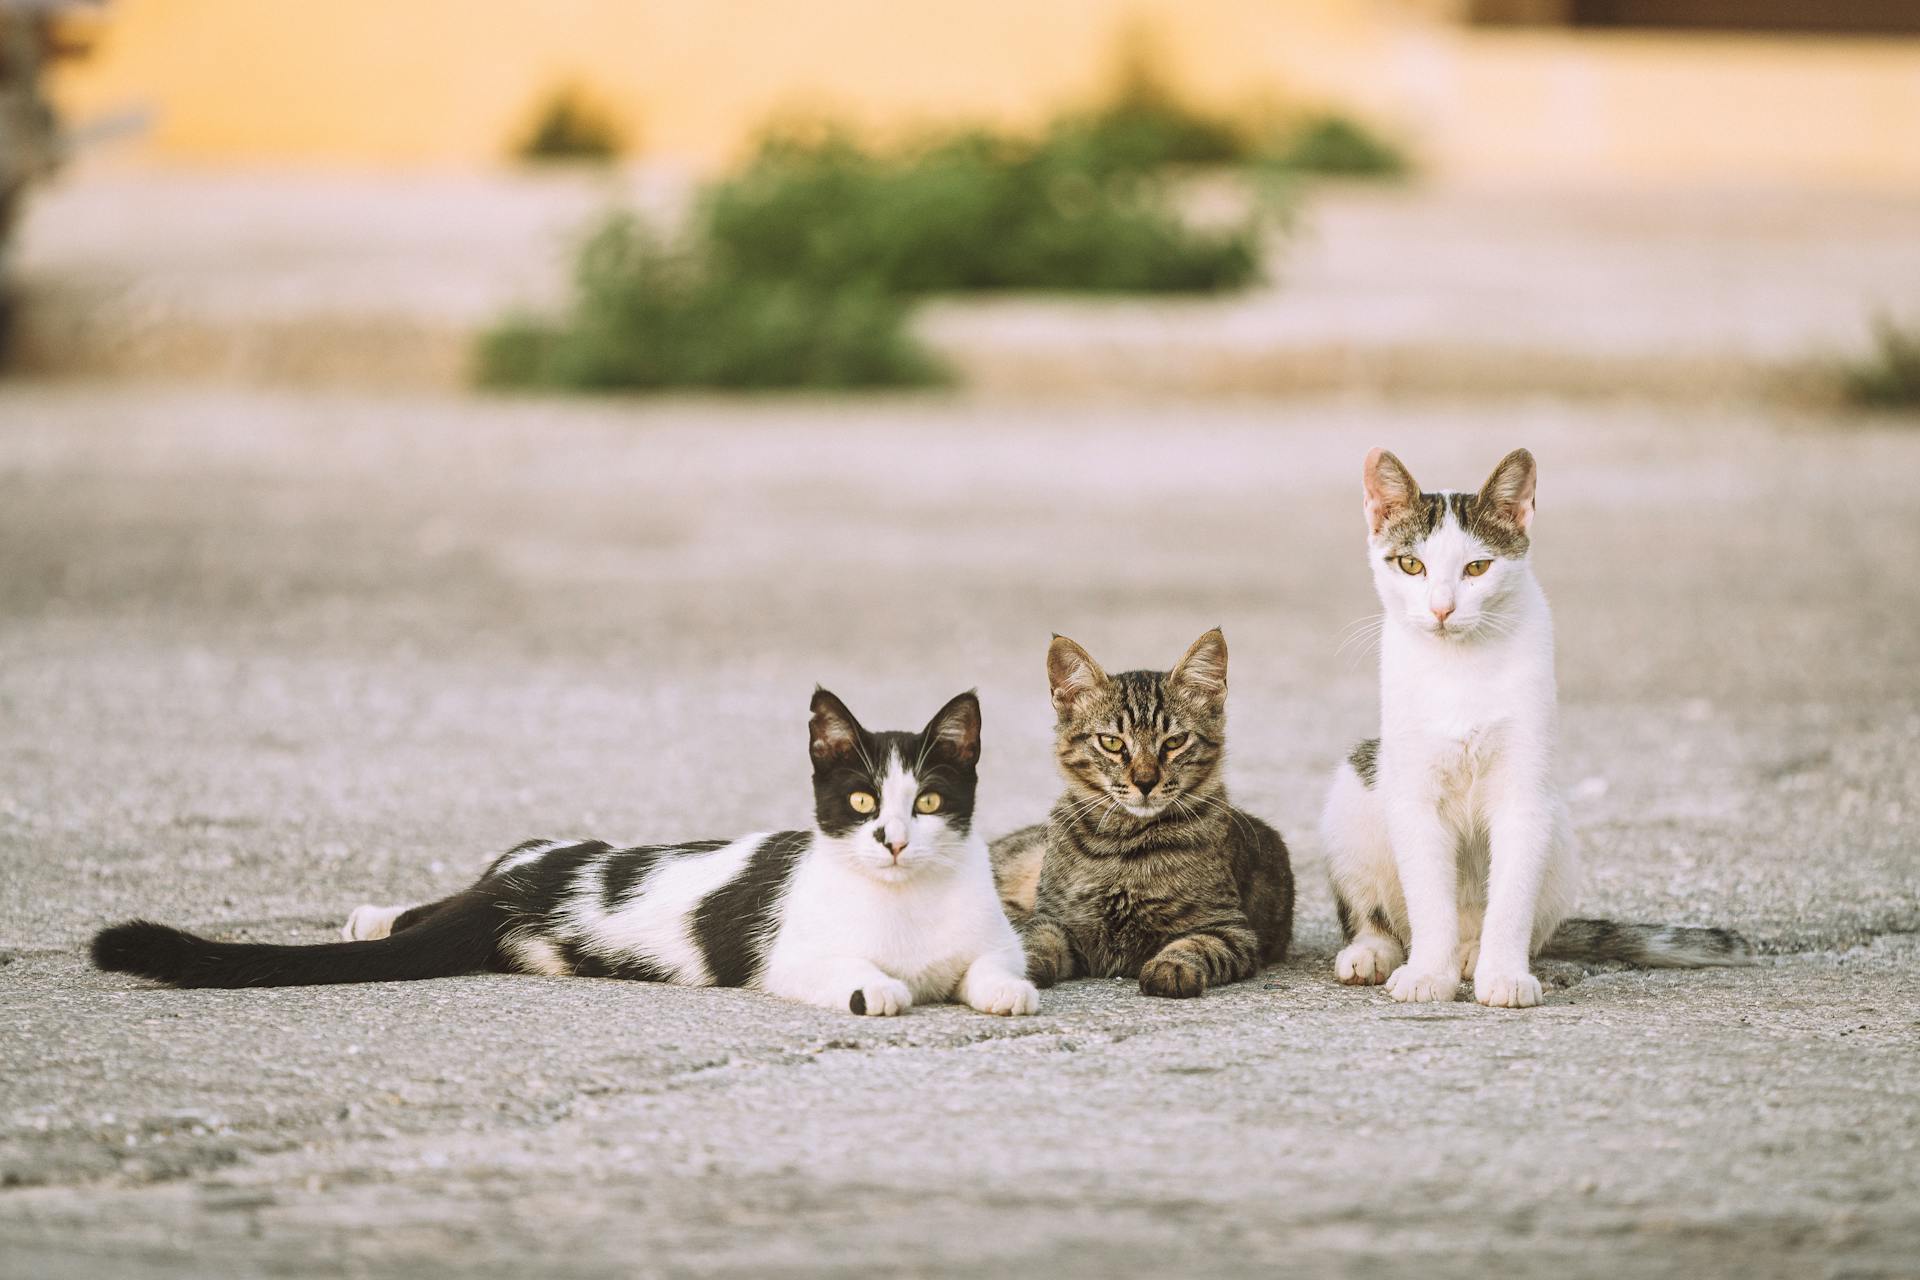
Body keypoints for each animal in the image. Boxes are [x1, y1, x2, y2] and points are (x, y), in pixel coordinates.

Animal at [95, 690, 1044, 1020]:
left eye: (928, 802)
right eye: (861, 803)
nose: (892, 840)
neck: (906, 904)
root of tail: (521, 883)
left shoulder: (992, 935)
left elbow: (998, 966)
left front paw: (1004, 994)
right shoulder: (792, 954)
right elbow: (861, 976)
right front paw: (880, 989)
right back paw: (370, 916)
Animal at [1328, 450, 1751, 1013]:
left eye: (1477, 567)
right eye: (1411, 565)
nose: (1442, 608)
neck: (1461, 667)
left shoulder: (1526, 793)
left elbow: (1511, 897)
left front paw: (1504, 974)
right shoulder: (1415, 793)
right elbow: (1428, 898)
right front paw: (1428, 973)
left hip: (1560, 830)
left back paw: (1473, 953)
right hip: (1358, 786)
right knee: (1379, 913)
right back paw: (1374, 951)